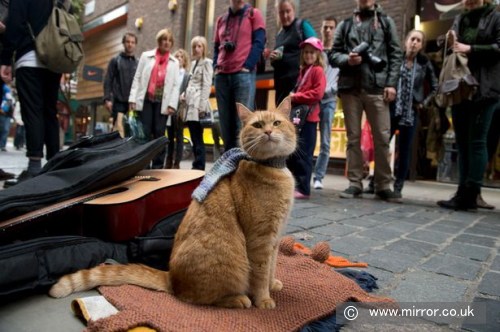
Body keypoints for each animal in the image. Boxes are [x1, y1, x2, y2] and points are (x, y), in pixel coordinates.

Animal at [48, 96, 296, 308]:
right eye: (257, 125)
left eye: (277, 122)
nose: (268, 131)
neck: (272, 168)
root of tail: (172, 278)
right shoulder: (260, 240)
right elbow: (260, 274)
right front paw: (263, 299)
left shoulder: (274, 240)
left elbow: (272, 267)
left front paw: (272, 285)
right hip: (231, 263)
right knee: (199, 298)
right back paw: (238, 299)